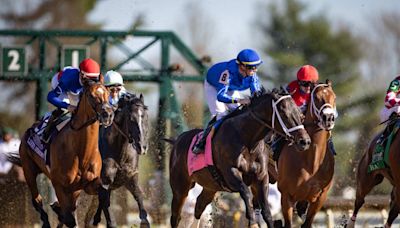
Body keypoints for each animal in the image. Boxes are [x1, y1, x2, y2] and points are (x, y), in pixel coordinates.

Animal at [17, 79, 113, 226]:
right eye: (91, 95)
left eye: (108, 94)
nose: (107, 114)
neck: (82, 153)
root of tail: (30, 129)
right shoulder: (59, 185)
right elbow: (69, 219)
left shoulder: (89, 184)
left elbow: (103, 193)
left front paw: (102, 220)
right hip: (28, 169)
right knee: (37, 200)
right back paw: (47, 220)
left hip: (75, 190)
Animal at [86, 91, 150, 227]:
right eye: (131, 119)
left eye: (145, 118)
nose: (142, 147)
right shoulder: (104, 183)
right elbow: (109, 213)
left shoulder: (130, 177)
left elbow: (139, 196)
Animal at [169, 89, 312, 228]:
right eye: (284, 114)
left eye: (301, 115)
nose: (304, 141)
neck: (247, 141)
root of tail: (177, 140)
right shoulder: (230, 173)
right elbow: (246, 193)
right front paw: (253, 222)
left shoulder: (261, 176)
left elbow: (266, 209)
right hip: (180, 187)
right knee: (176, 216)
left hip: (210, 186)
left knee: (199, 205)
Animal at [274, 80, 336, 228]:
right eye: (317, 98)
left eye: (334, 97)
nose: (329, 118)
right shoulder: (286, 196)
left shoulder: (319, 199)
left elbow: (307, 223)